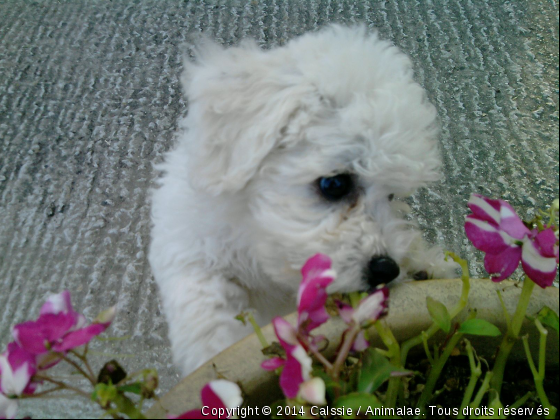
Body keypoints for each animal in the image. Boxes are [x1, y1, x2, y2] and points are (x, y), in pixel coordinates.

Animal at [151, 24, 458, 376]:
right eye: (334, 184)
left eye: (392, 195)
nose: (386, 269)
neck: (256, 244)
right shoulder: (189, 244)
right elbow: (208, 312)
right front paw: (218, 365)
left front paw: (426, 265)